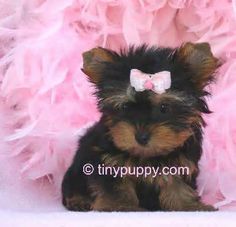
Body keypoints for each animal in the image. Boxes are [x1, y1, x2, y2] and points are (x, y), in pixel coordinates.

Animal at [61, 42, 219, 211]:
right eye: (125, 107)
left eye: (164, 108)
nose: (141, 137)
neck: (147, 155)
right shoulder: (108, 162)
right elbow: (116, 186)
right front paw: (120, 206)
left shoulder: (181, 162)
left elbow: (178, 185)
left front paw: (189, 205)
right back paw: (79, 201)